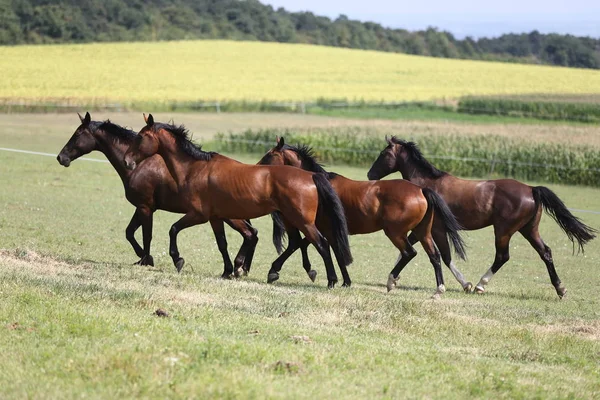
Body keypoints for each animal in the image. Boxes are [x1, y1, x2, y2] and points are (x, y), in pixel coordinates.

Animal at [56, 111, 260, 276]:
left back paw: (239, 268)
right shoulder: (143, 207)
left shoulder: (145, 207)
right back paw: (240, 268)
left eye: (77, 134)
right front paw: (143, 258)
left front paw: (149, 259)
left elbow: (146, 235)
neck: (141, 165)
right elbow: (129, 232)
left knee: (250, 234)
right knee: (251, 234)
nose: (61, 157)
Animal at [124, 113, 354, 288]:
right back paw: (276, 272)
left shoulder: (198, 215)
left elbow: (173, 229)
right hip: (290, 219)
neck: (195, 168)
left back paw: (332, 280)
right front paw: (228, 271)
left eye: (141, 137)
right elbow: (222, 244)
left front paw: (178, 259)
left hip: (303, 222)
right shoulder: (215, 218)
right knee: (299, 243)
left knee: (322, 244)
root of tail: (311, 176)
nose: (127, 161)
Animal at [258, 138, 468, 296]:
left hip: (395, 233)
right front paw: (344, 282)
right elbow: (335, 253)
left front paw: (279, 271)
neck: (317, 183)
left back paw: (391, 281)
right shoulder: (330, 230)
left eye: (269, 155)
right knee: (435, 256)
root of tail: (422, 190)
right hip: (423, 232)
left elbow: (310, 246)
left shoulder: (324, 228)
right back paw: (439, 289)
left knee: (409, 253)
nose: (256, 169)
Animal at [366, 138, 596, 296]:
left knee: (503, 256)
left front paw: (465, 284)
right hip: (529, 229)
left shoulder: (437, 229)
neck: (427, 185)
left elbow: (445, 256)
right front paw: (394, 278)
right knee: (545, 252)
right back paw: (560, 289)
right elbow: (409, 250)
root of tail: (532, 189)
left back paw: (479, 285)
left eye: (384, 154)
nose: (370, 175)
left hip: (503, 231)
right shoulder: (423, 229)